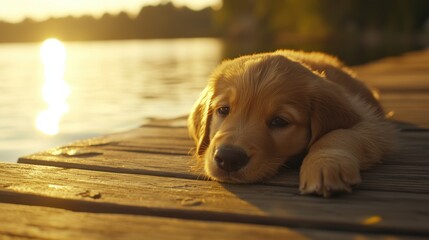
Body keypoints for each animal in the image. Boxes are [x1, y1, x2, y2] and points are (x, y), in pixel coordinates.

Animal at [187, 50, 394, 197]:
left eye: (279, 121)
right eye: (223, 110)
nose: (229, 158)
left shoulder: (372, 123)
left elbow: (338, 134)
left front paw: (325, 164)